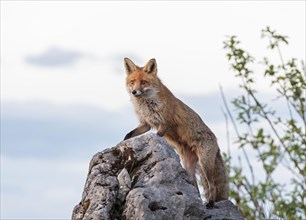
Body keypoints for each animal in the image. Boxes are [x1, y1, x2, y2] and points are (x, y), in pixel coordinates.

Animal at [123, 57, 228, 208]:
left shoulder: (166, 122)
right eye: (132, 82)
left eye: (143, 82)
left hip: (205, 163)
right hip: (188, 167)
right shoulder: (145, 124)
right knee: (196, 187)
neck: (146, 104)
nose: (134, 92)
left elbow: (157, 136)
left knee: (212, 185)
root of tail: (217, 142)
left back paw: (210, 203)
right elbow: (128, 135)